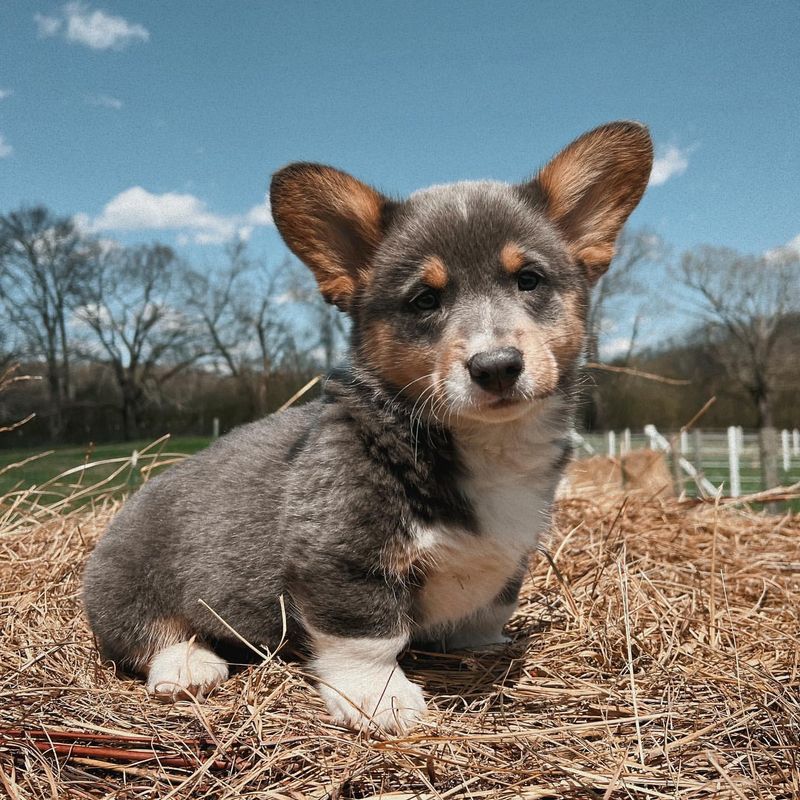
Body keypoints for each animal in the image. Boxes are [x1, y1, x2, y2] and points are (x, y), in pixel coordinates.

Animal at [84, 122, 652, 736]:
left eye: (529, 280)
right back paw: (189, 664)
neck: (478, 444)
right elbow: (368, 638)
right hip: (126, 583)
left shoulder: (509, 557)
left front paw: (486, 645)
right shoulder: (342, 554)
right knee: (147, 633)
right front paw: (381, 699)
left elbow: (491, 605)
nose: (497, 366)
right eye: (425, 299)